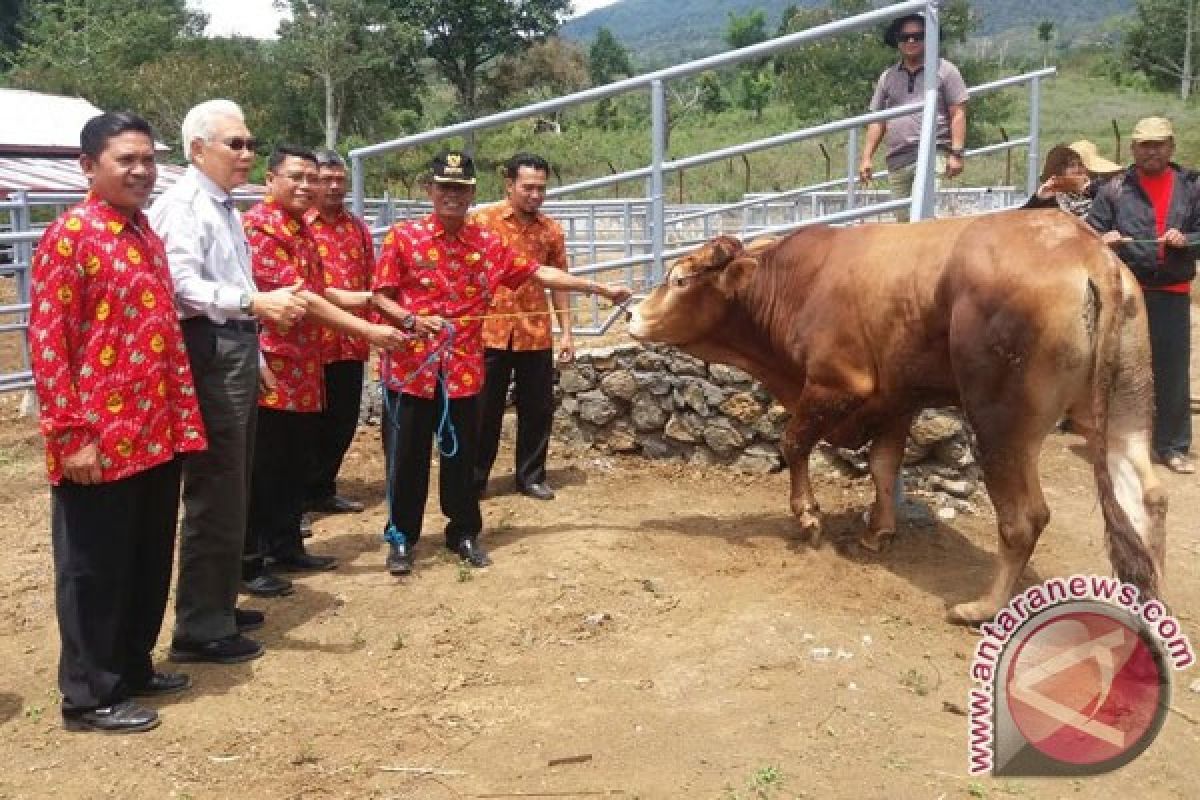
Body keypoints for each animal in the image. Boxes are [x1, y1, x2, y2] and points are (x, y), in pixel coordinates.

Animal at [633, 209, 1166, 623]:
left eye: (679, 280)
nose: (633, 313)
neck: (799, 282)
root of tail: (1088, 251)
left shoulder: (836, 383)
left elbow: (794, 443)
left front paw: (808, 517)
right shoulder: (896, 398)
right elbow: (883, 465)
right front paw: (878, 532)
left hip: (1001, 421)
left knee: (1024, 518)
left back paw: (982, 607)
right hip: (1124, 409)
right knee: (1147, 496)